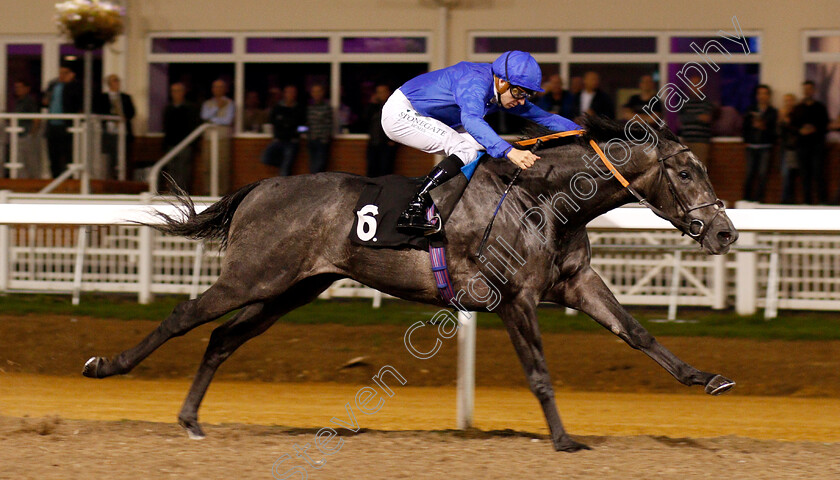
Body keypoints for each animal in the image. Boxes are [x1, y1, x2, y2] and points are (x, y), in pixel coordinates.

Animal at [83, 117, 736, 454]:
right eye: (685, 172)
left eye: (702, 168)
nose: (725, 232)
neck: (545, 199)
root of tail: (261, 188)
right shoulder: (515, 298)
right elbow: (539, 372)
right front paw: (564, 440)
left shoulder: (575, 283)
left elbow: (638, 333)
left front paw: (708, 378)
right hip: (253, 275)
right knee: (184, 318)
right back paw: (105, 366)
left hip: (291, 288)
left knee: (221, 339)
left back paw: (192, 419)